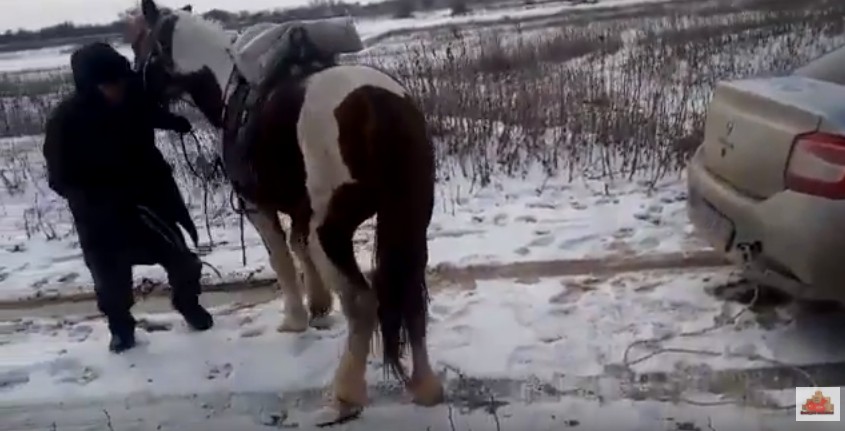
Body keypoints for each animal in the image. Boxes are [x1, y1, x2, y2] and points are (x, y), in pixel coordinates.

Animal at [128, 0, 444, 423]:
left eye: (141, 47)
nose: (136, 98)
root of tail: (378, 104)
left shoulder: (257, 206)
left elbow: (281, 256)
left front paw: (295, 319)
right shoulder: (301, 209)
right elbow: (299, 247)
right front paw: (319, 306)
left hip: (335, 232)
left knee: (362, 304)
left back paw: (345, 394)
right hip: (410, 217)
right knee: (412, 292)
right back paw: (425, 386)